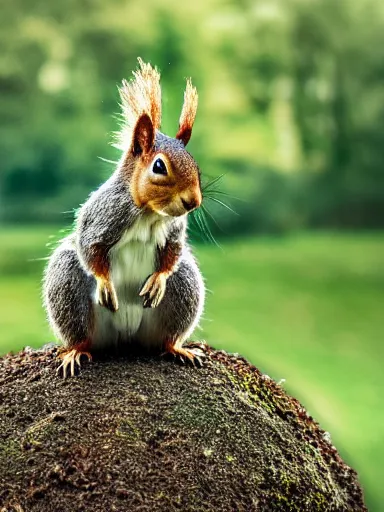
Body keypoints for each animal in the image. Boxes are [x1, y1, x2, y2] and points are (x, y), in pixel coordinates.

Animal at [43, 60, 206, 378]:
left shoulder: (173, 229)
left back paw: (177, 348)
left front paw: (158, 281)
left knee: (167, 336)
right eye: (159, 166)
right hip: (68, 285)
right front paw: (106, 284)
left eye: (196, 167)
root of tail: (126, 337)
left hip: (185, 285)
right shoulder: (103, 216)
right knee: (80, 335)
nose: (193, 202)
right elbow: (90, 247)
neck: (149, 213)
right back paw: (75, 352)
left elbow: (173, 252)